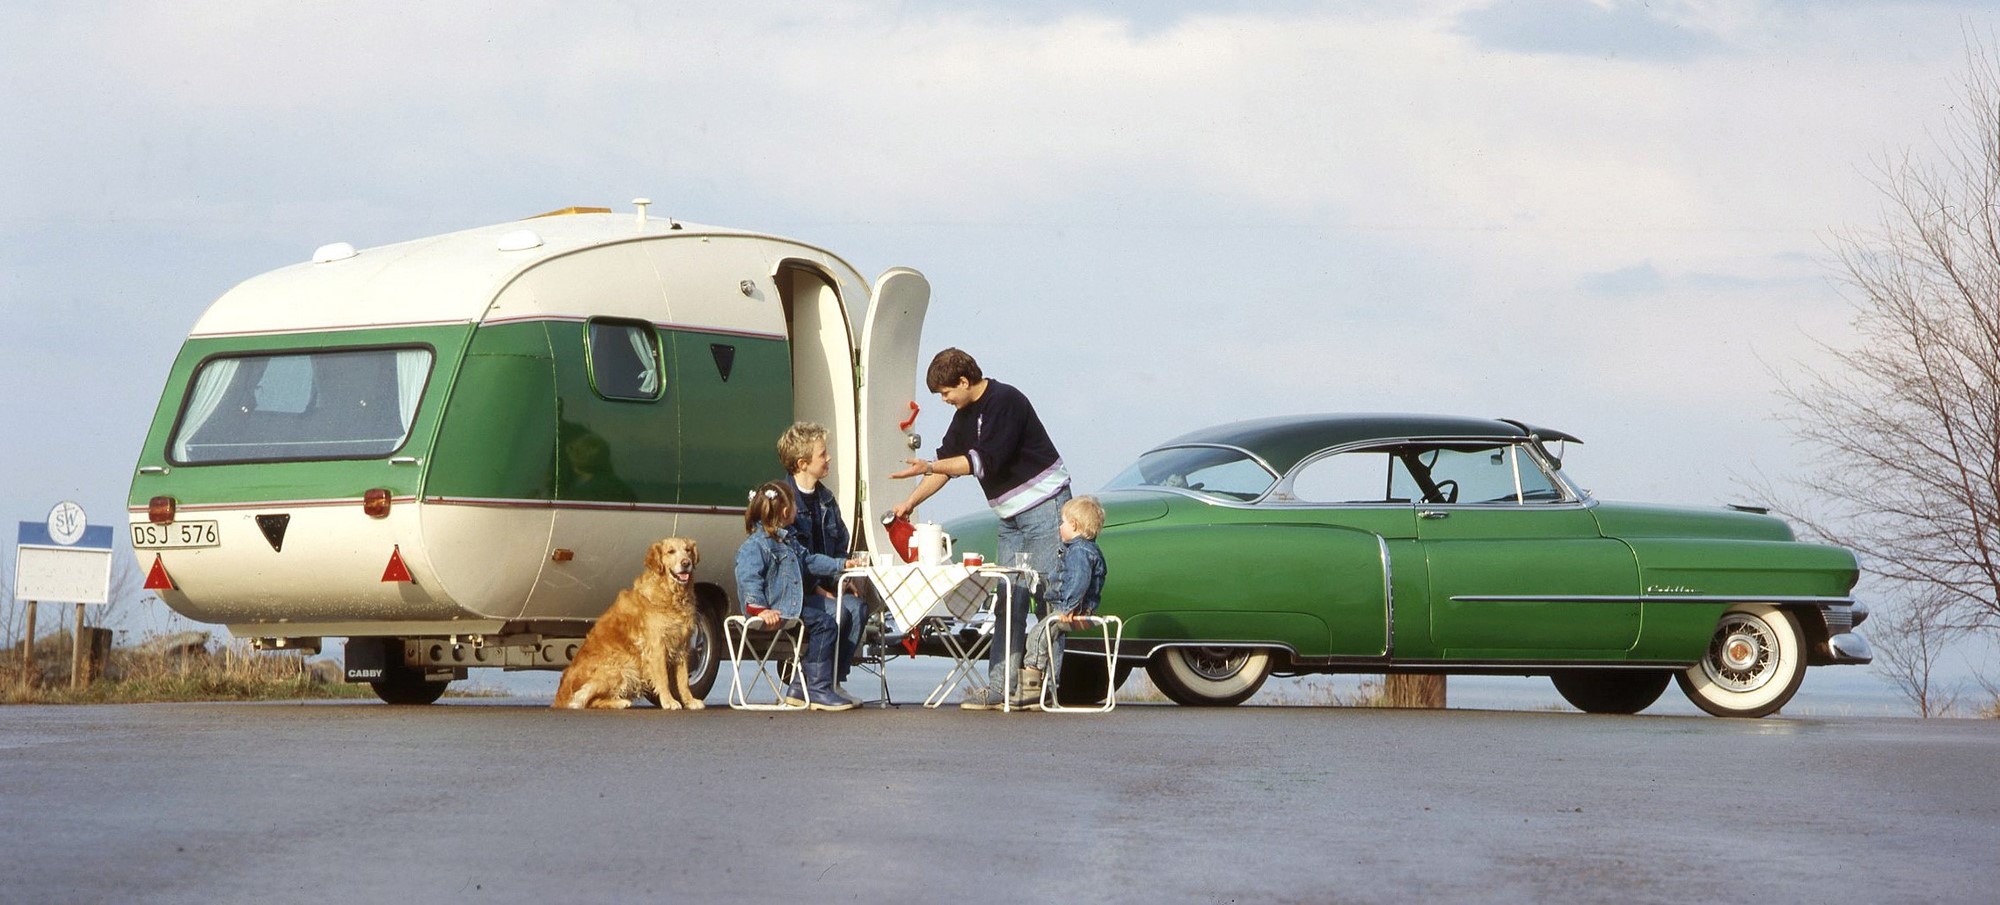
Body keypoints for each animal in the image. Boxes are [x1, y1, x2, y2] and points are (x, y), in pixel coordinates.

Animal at [552, 536, 708, 708]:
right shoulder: (656, 646)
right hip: (621, 668)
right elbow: (663, 679)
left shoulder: (682, 645)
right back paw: (620, 703)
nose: (686, 563)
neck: (671, 595)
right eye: (671, 551)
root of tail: (560, 696)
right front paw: (669, 701)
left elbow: (683, 680)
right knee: (587, 702)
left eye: (688, 550)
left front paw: (690, 701)